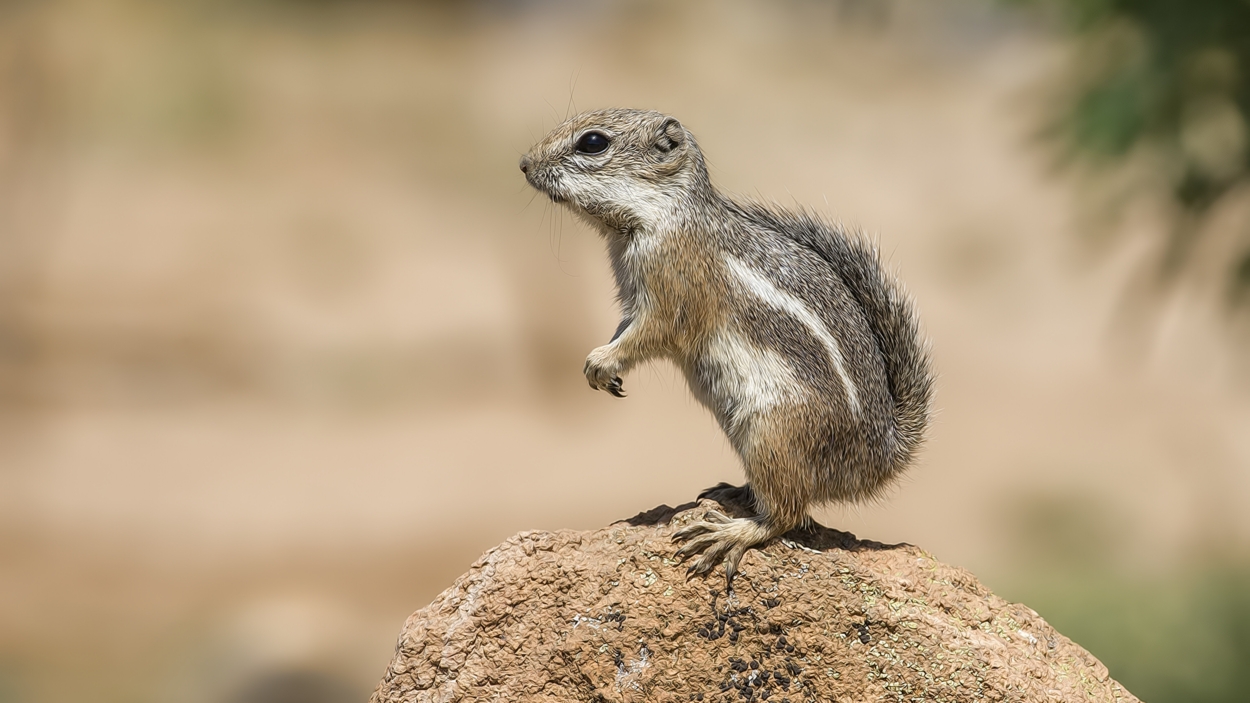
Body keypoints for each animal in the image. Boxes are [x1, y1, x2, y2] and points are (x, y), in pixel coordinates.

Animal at [515, 108, 930, 580]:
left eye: (593, 143)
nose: (524, 164)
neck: (663, 215)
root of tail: (880, 458)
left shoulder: (672, 293)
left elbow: (650, 334)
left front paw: (602, 362)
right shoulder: (632, 300)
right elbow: (624, 330)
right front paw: (602, 365)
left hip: (773, 433)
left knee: (788, 513)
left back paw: (730, 533)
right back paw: (733, 492)